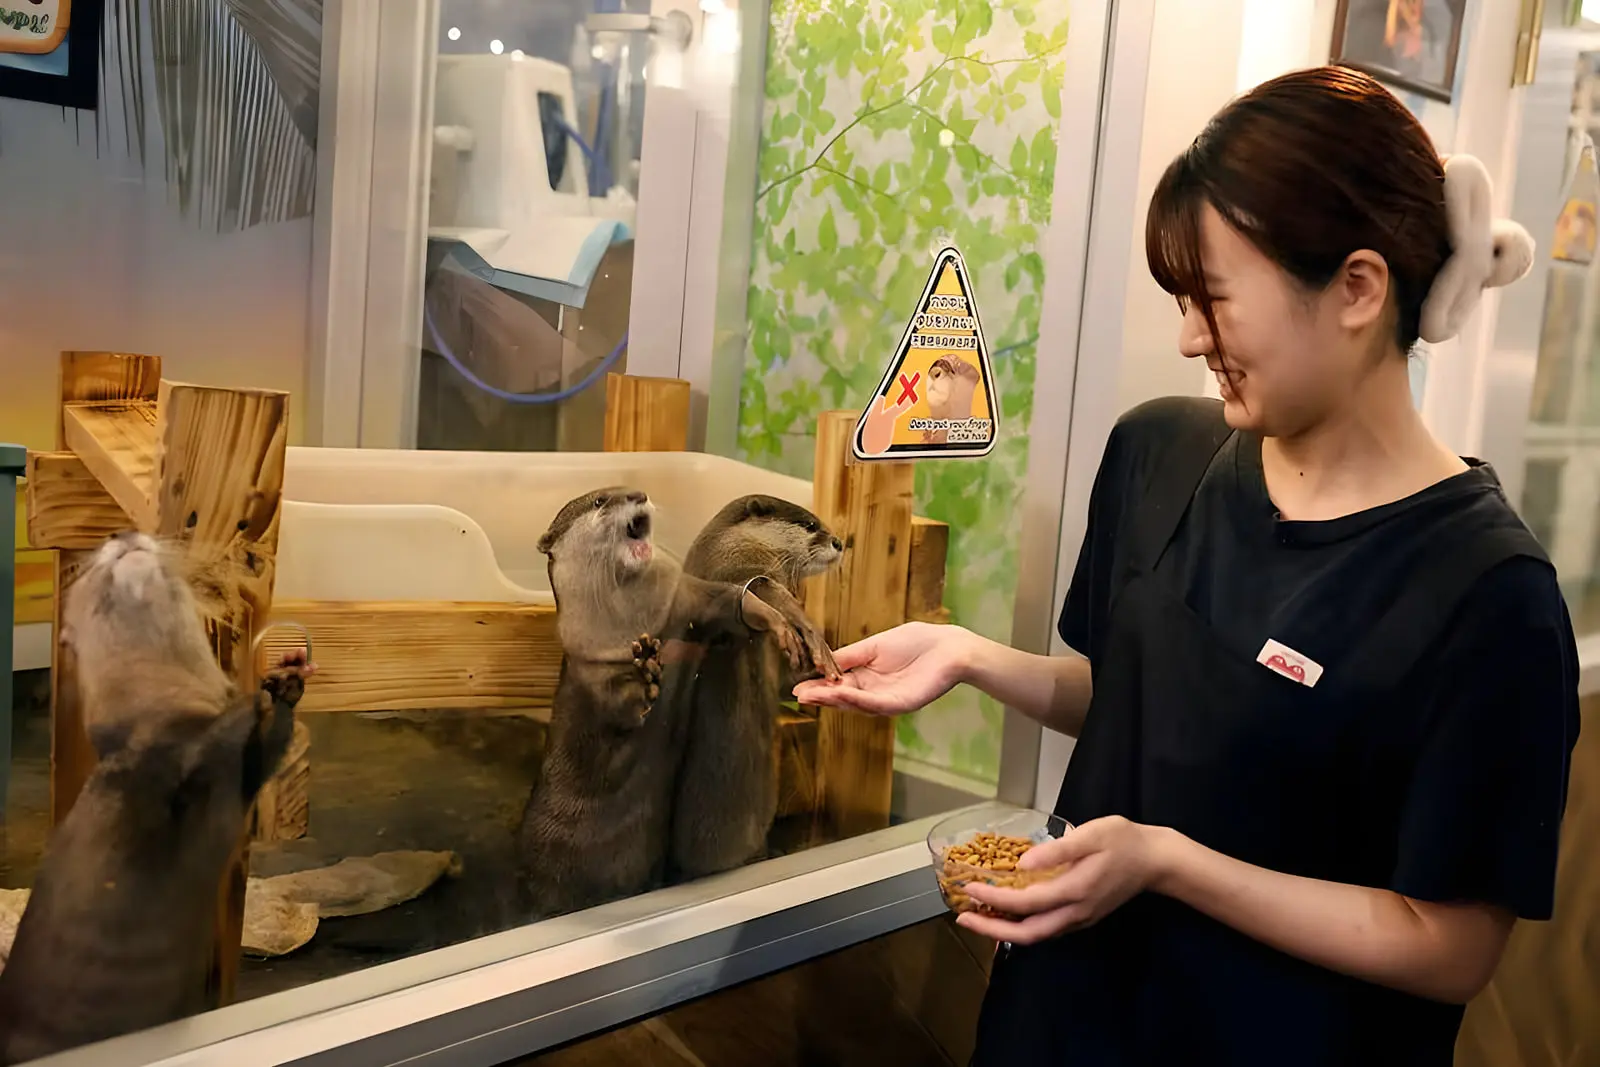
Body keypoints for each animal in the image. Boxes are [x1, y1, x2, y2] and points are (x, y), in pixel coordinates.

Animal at [0, 531, 308, 1065]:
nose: (119, 535)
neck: (171, 703)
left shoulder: (242, 772)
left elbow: (262, 752)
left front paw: (286, 677)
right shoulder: (151, 755)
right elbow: (192, 755)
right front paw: (248, 697)